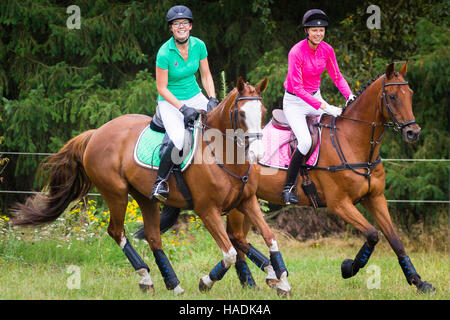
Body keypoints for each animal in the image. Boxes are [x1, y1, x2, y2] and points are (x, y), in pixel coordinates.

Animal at [11, 77, 292, 296]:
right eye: (241, 114)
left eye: (263, 112)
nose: (257, 154)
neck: (223, 154)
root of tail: (96, 132)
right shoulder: (206, 210)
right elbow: (230, 253)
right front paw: (205, 282)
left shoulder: (247, 201)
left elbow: (269, 237)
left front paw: (282, 281)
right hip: (116, 194)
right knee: (117, 232)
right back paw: (146, 278)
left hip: (145, 197)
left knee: (154, 236)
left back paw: (173, 284)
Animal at [151, 61, 436, 294]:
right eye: (392, 96)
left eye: (410, 95)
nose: (413, 132)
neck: (353, 141)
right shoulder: (339, 204)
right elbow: (373, 234)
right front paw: (348, 267)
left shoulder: (375, 198)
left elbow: (395, 240)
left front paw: (419, 282)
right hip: (236, 203)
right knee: (236, 238)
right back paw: (261, 277)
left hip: (244, 201)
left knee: (236, 238)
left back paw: (256, 281)